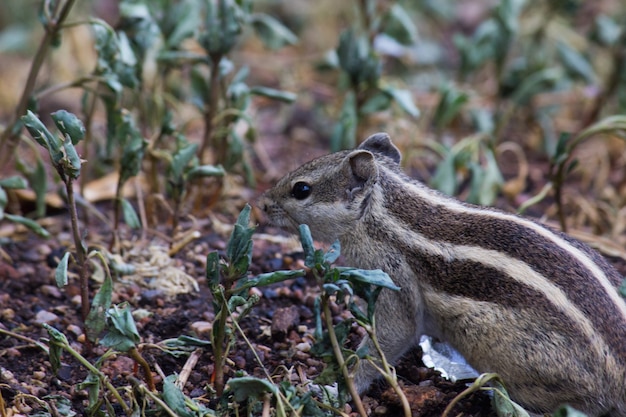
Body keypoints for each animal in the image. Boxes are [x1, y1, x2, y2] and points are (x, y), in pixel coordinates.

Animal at [258, 133, 624, 416]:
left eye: (301, 190)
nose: (260, 204)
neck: (383, 216)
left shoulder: (393, 278)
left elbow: (388, 340)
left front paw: (338, 389)